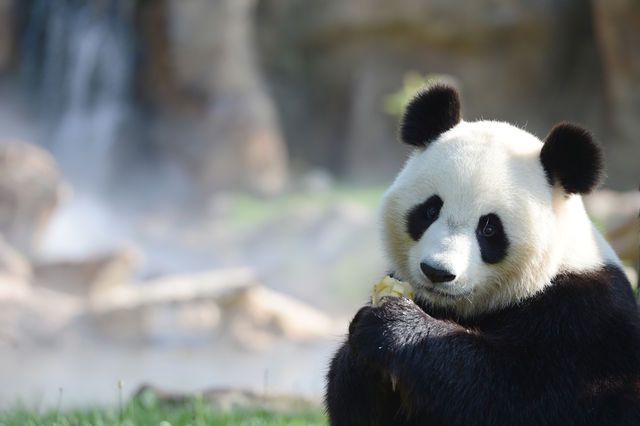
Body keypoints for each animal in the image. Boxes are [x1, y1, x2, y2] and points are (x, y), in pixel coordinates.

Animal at [325, 85, 640, 425]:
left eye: (489, 228)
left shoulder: (587, 323)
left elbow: (520, 395)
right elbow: (353, 405)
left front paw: (394, 327)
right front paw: (366, 333)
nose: (437, 272)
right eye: (430, 210)